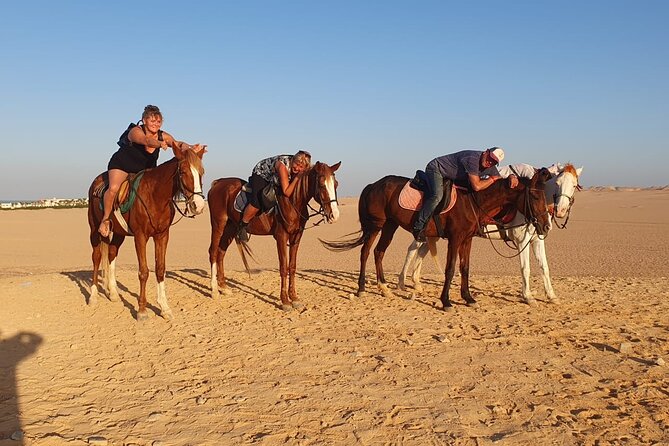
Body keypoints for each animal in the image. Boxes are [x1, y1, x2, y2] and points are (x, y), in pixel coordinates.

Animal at [87, 149, 206, 320]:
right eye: (183, 171)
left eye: (201, 172)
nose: (199, 205)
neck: (154, 196)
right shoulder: (140, 237)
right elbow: (143, 272)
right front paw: (142, 310)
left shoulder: (162, 236)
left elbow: (160, 269)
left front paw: (165, 308)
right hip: (94, 229)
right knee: (96, 258)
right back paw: (93, 297)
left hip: (119, 233)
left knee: (111, 254)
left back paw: (114, 293)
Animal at [207, 161, 341, 310]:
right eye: (322, 185)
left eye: (336, 184)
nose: (334, 215)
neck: (292, 201)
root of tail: (218, 183)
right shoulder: (281, 237)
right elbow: (283, 268)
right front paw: (285, 301)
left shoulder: (296, 237)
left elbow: (292, 267)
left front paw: (294, 298)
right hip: (218, 225)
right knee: (213, 252)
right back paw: (214, 290)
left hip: (230, 228)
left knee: (221, 253)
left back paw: (223, 287)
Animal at [321, 169, 552, 310]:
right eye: (535, 196)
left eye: (545, 195)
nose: (545, 225)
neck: (473, 200)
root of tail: (371, 185)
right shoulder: (455, 238)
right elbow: (450, 269)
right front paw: (446, 300)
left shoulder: (467, 239)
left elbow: (465, 268)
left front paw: (468, 298)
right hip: (376, 225)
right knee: (366, 252)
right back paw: (361, 288)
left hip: (390, 225)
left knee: (379, 252)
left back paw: (385, 288)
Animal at [399, 163, 583, 304]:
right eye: (557, 183)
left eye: (574, 185)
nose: (561, 210)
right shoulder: (521, 241)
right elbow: (526, 268)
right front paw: (528, 297)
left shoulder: (537, 239)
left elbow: (544, 267)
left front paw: (552, 296)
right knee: (412, 249)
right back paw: (402, 282)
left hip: (434, 234)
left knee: (422, 251)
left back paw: (416, 283)